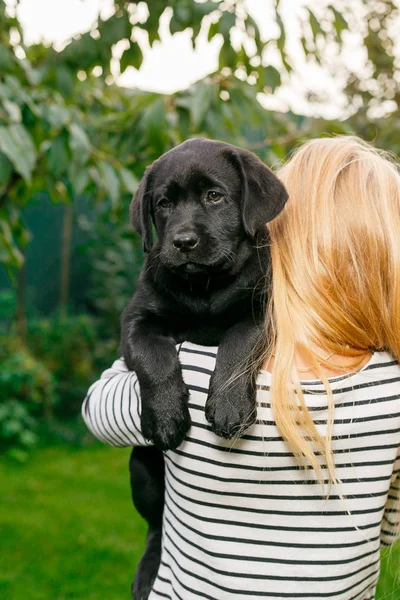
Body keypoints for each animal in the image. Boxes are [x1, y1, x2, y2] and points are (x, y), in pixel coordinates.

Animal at [120, 138, 286, 596]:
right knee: (156, 526)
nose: (183, 242)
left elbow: (237, 344)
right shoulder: (137, 320)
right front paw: (166, 416)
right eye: (163, 204)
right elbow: (153, 358)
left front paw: (228, 408)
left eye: (214, 196)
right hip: (142, 470)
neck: (205, 288)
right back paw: (147, 573)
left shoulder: (261, 313)